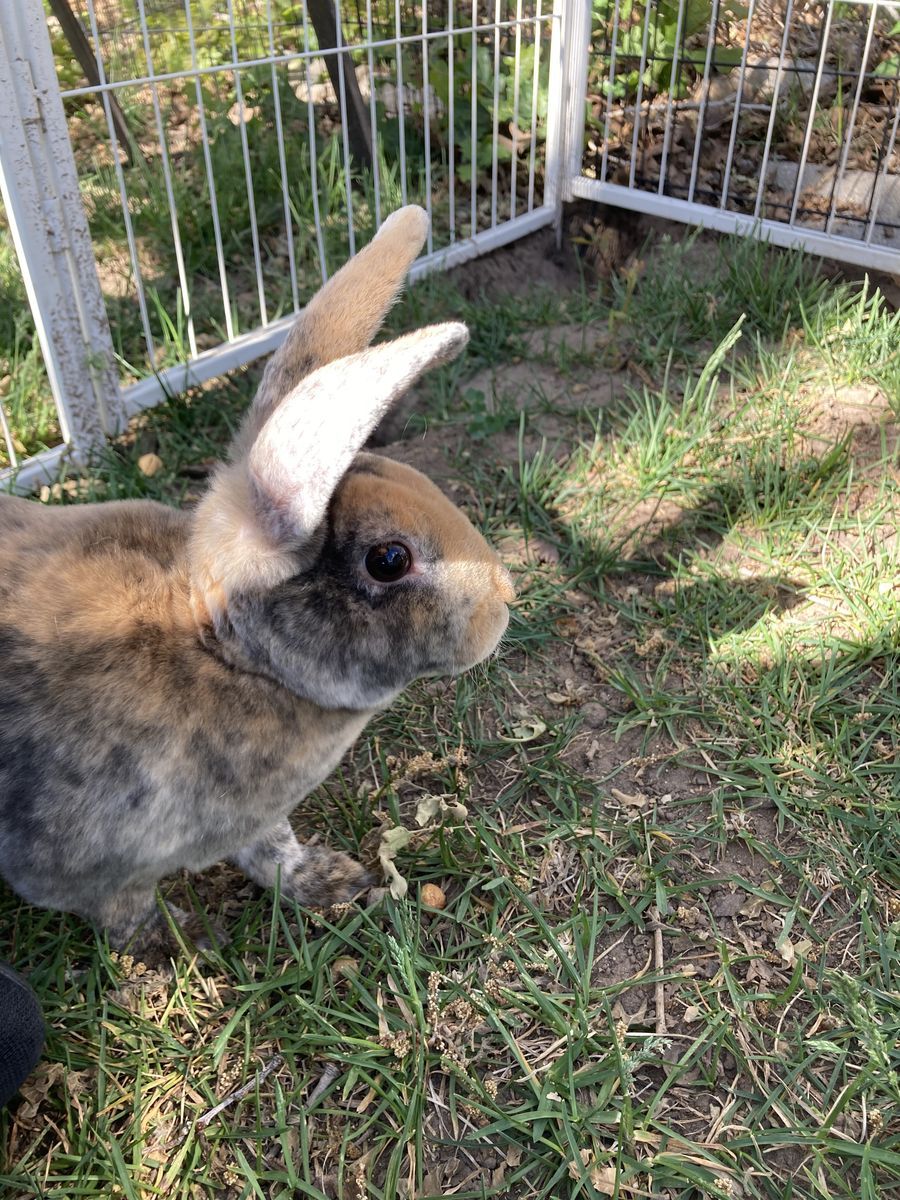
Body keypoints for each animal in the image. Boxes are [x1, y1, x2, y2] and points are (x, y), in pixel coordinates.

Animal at [0, 206, 514, 951]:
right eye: (388, 560)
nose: (505, 601)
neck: (226, 655)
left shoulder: (257, 821)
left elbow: (271, 850)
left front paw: (328, 881)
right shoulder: (80, 869)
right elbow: (127, 912)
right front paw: (182, 945)